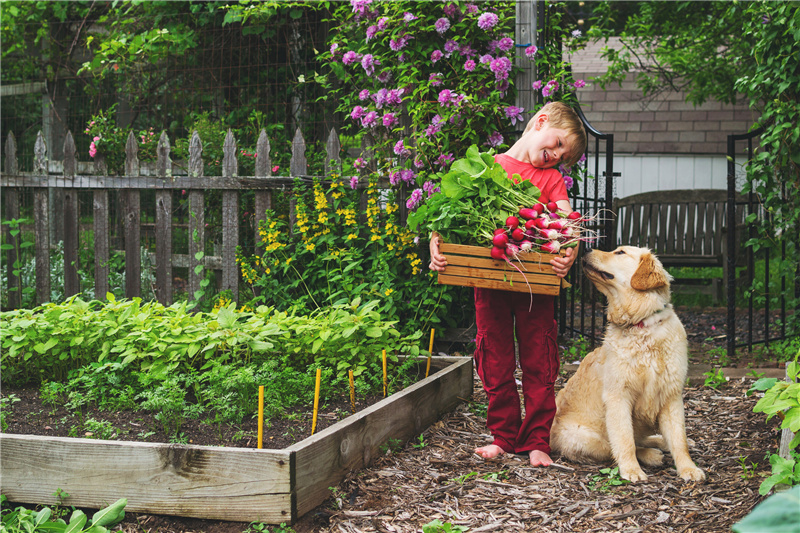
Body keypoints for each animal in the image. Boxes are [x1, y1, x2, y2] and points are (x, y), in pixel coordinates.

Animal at [552, 245, 704, 482]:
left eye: (620, 252)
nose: (586, 249)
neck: (641, 325)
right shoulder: (618, 396)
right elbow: (624, 440)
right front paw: (632, 470)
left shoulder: (671, 395)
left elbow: (679, 439)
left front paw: (688, 468)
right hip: (582, 436)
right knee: (615, 446)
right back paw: (651, 454)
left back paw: (660, 441)